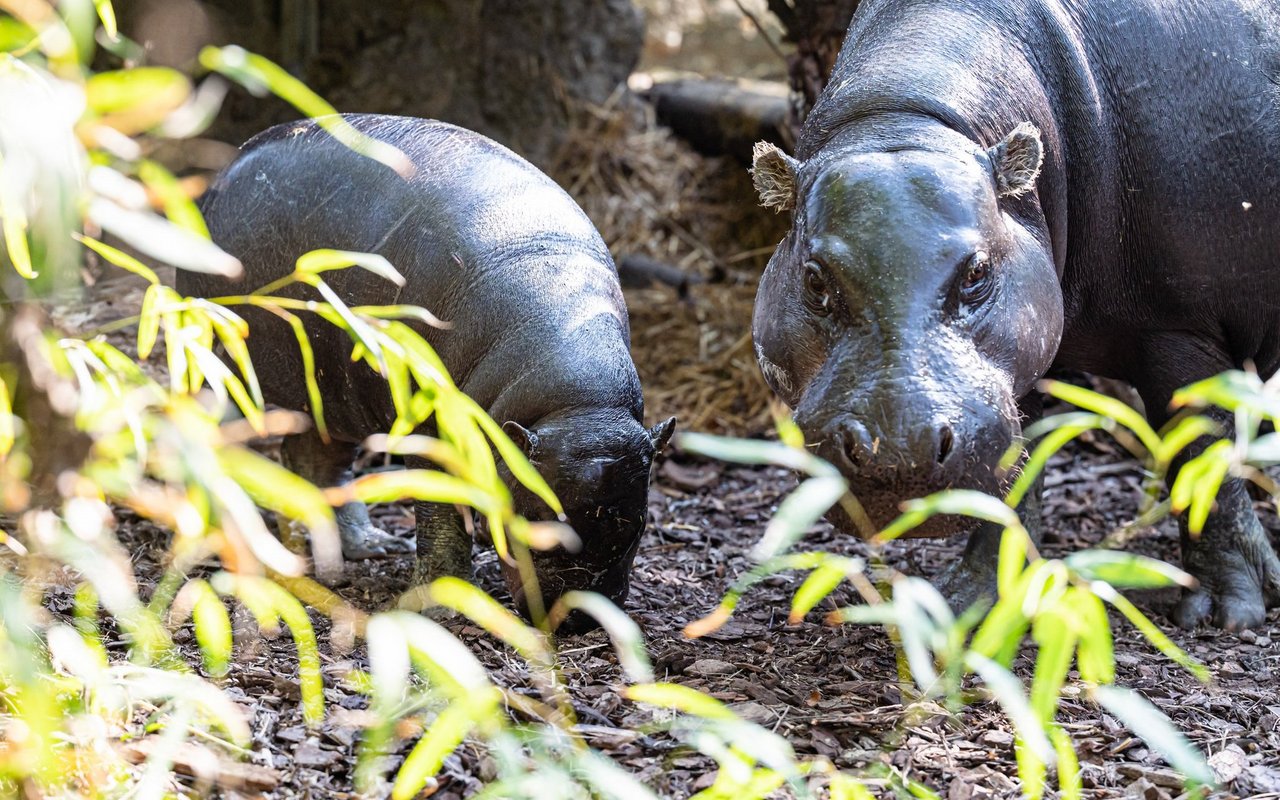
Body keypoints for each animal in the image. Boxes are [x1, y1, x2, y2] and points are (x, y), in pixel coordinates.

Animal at [186, 113, 680, 624]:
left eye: (640, 523)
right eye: (535, 519)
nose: (580, 619)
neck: (575, 411)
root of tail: (224, 170)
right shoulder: (438, 428)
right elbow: (442, 509)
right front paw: (444, 604)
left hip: (332, 392)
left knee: (316, 459)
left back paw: (371, 547)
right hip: (223, 362)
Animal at [747, 0, 1280, 629]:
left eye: (977, 271)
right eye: (813, 279)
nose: (901, 451)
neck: (899, 124)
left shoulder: (1179, 329)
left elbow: (1203, 459)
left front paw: (1226, 613)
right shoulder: (1017, 373)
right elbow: (1017, 482)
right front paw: (974, 607)